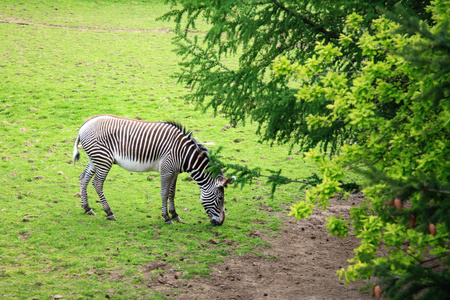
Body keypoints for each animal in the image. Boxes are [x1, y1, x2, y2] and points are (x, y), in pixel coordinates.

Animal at [71, 114, 234, 225]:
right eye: (220, 198)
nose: (221, 223)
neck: (184, 154)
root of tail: (84, 125)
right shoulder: (166, 170)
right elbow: (164, 193)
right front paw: (167, 217)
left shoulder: (174, 172)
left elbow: (172, 193)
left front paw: (175, 215)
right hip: (103, 159)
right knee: (97, 183)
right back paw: (109, 212)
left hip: (95, 159)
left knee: (83, 178)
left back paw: (87, 208)